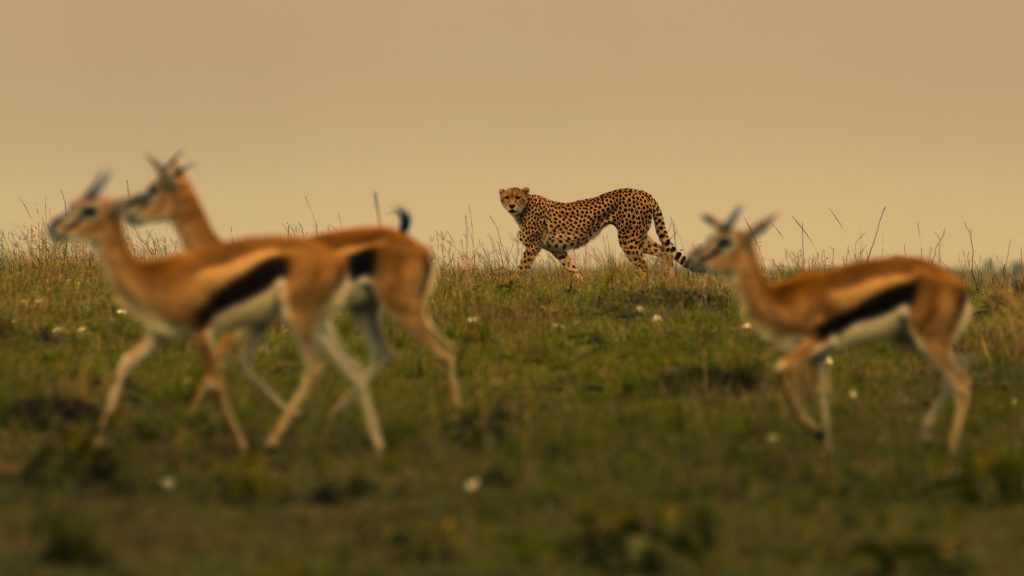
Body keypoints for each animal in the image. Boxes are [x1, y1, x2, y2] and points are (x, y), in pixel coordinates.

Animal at [497, 183, 688, 272]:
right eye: (506, 197)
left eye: (517, 197)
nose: (511, 206)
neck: (523, 209)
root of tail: (643, 192)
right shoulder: (557, 249)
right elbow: (572, 268)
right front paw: (580, 287)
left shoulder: (533, 246)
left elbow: (521, 268)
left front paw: (513, 286)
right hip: (639, 236)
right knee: (664, 252)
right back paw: (668, 281)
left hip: (628, 238)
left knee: (642, 267)